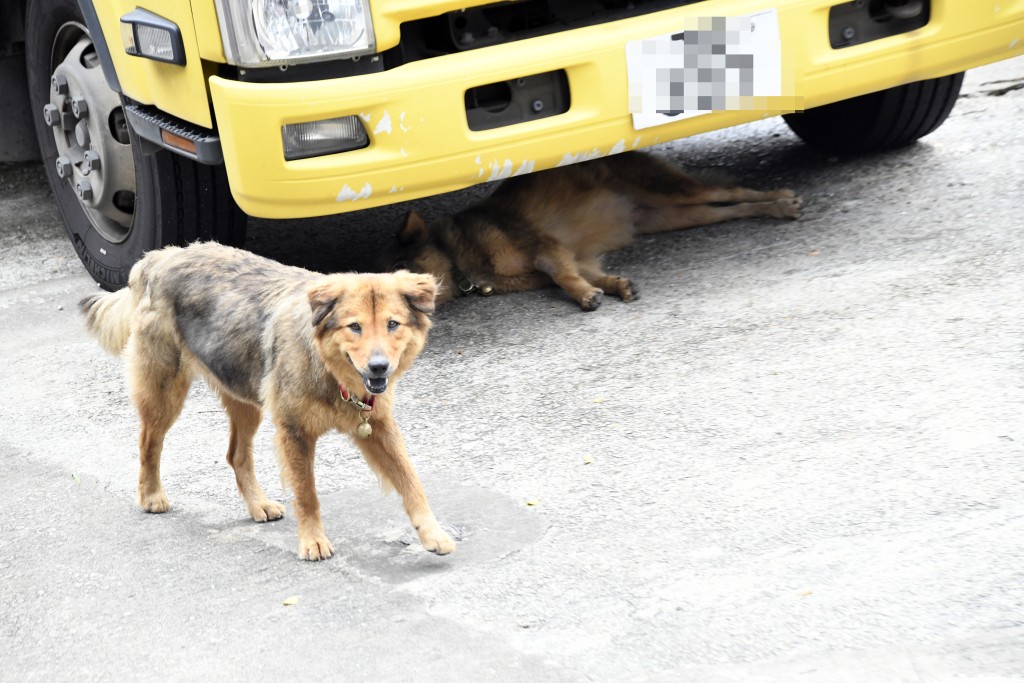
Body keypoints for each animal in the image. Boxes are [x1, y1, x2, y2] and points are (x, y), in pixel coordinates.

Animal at [81, 242, 458, 565]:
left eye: (393, 324)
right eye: (355, 327)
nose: (380, 367)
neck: (330, 371)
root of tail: (159, 257)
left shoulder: (378, 427)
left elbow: (411, 482)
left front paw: (432, 532)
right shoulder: (294, 432)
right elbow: (307, 494)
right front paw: (312, 541)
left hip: (247, 401)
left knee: (236, 455)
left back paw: (257, 504)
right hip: (165, 392)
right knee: (149, 442)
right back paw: (150, 495)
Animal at [389, 151, 798, 309]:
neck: (459, 257)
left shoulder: (545, 248)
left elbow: (563, 278)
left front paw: (586, 296)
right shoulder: (573, 257)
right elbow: (584, 274)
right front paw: (613, 286)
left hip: (671, 191)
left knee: (734, 192)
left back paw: (780, 200)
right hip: (676, 215)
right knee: (731, 210)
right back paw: (770, 208)